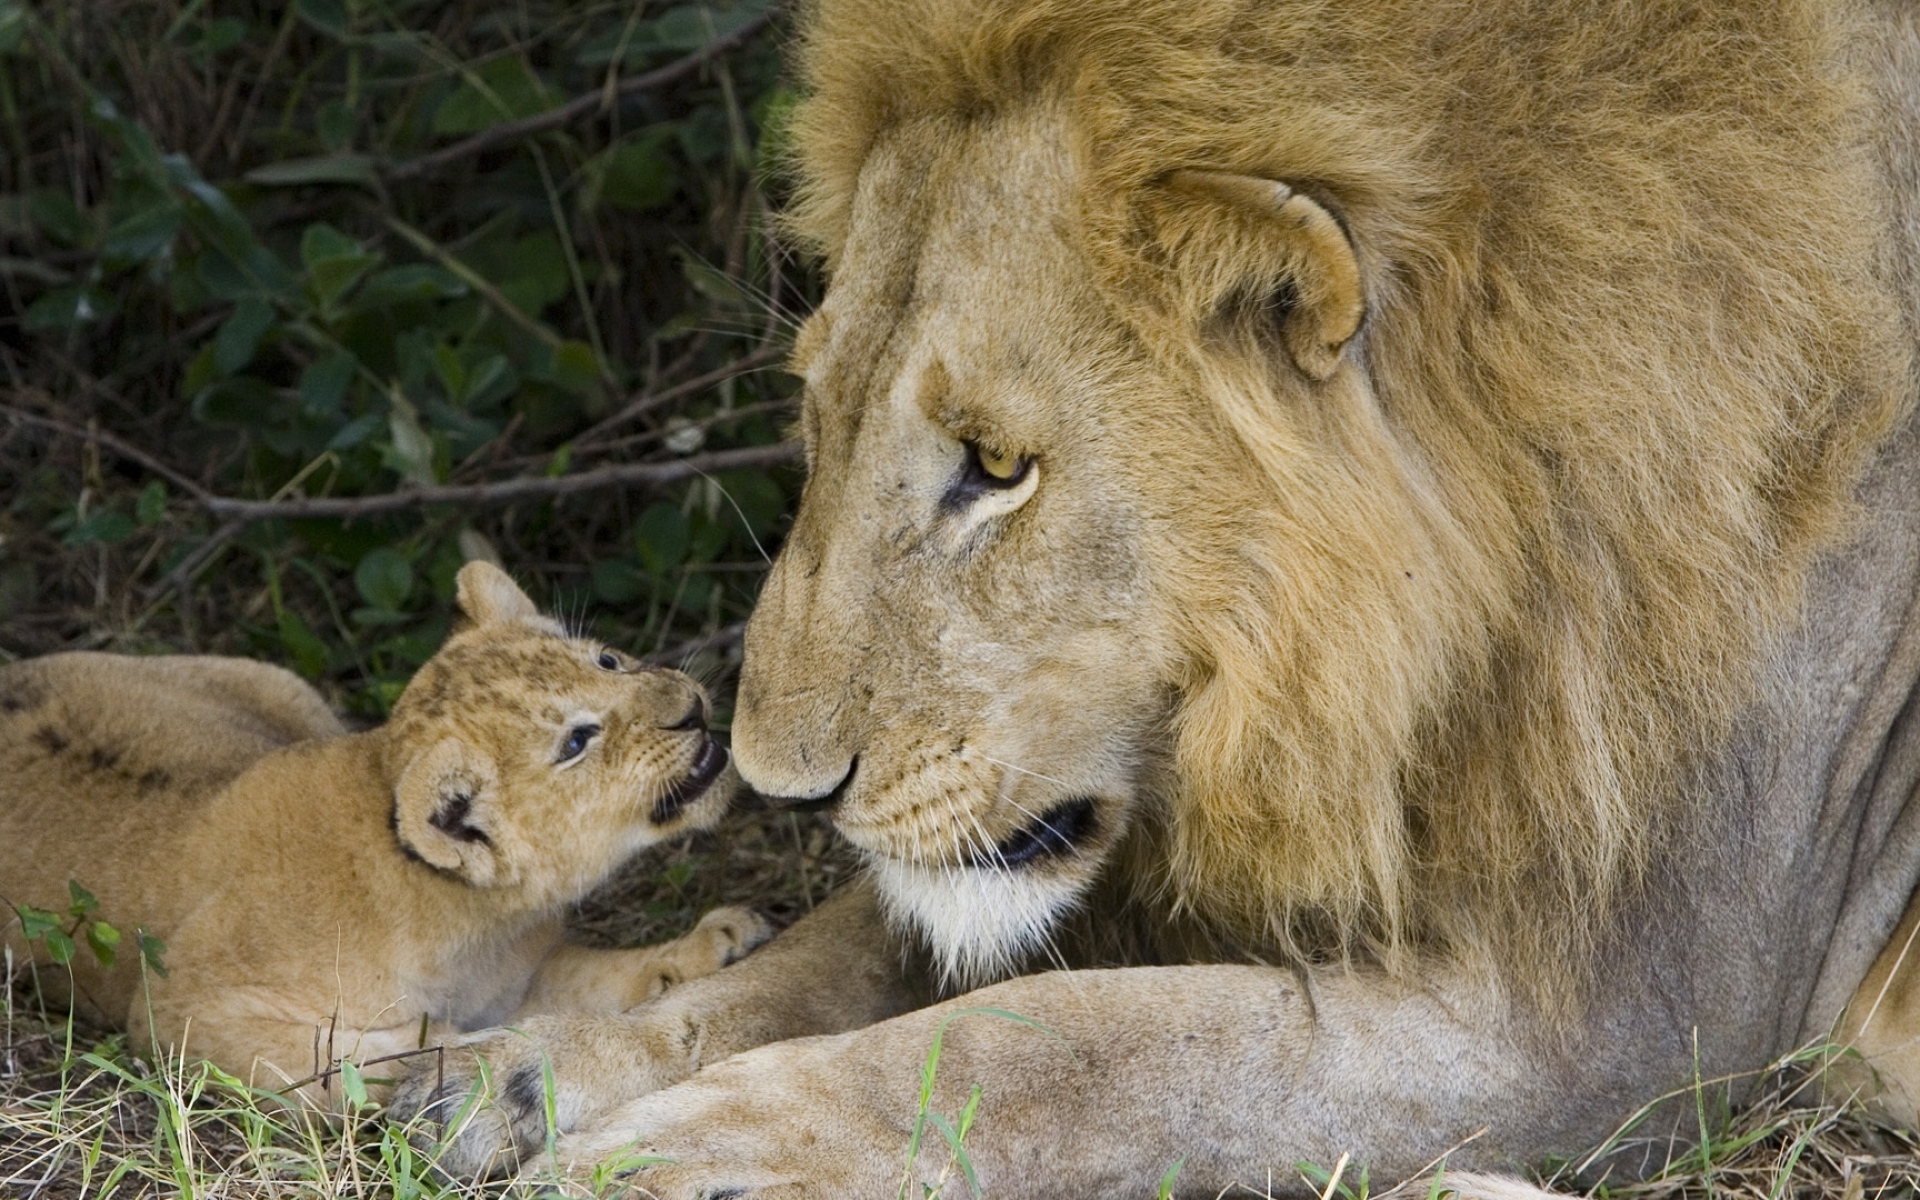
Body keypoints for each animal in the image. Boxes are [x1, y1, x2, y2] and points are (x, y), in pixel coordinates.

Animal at [0, 561, 767, 1108]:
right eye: (577, 741)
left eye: (606, 661)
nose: (691, 707)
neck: (474, 925)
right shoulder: (177, 1013)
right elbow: (338, 1059)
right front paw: (454, 1053)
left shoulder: (519, 972)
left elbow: (596, 977)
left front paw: (714, 946)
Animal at [391, 0, 1920, 1192]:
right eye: (816, 414)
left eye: (998, 466)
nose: (776, 785)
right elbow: (816, 961)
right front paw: (504, 1078)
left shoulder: (1627, 1018)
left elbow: (1072, 1047)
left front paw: (707, 1149)